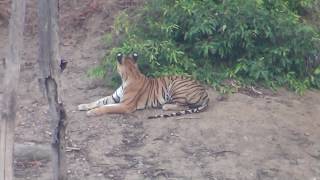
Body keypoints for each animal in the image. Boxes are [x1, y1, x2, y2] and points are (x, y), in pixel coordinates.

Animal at [78, 52, 209, 119]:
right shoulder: (114, 98)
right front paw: (83, 106)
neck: (129, 75)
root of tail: (206, 93)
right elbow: (99, 101)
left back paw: (166, 106)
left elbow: (107, 107)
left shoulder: (126, 105)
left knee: (184, 105)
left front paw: (92, 112)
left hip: (176, 85)